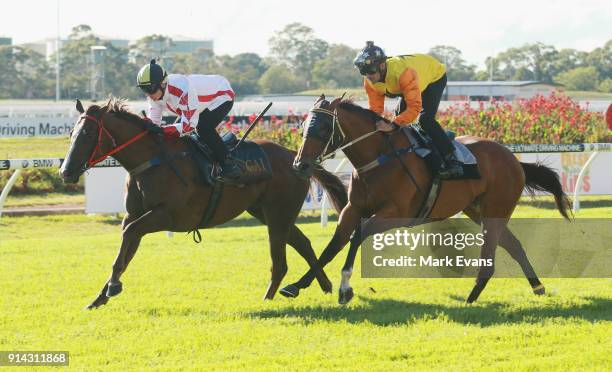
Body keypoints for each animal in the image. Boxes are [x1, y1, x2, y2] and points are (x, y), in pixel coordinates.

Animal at [61, 97, 350, 310]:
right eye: (72, 132)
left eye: (88, 132)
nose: (66, 171)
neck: (151, 162)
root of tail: (296, 157)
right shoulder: (134, 215)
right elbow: (123, 251)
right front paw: (100, 296)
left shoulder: (166, 216)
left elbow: (129, 235)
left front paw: (112, 287)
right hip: (266, 211)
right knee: (302, 243)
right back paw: (321, 286)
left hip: (278, 213)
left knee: (280, 261)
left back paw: (269, 298)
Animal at [280, 96, 572, 306]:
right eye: (303, 127)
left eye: (321, 128)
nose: (300, 165)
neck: (378, 158)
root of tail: (514, 159)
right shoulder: (353, 209)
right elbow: (334, 244)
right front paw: (296, 285)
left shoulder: (395, 213)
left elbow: (358, 235)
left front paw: (345, 288)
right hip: (477, 209)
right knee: (513, 245)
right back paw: (536, 286)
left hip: (496, 209)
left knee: (492, 255)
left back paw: (472, 297)